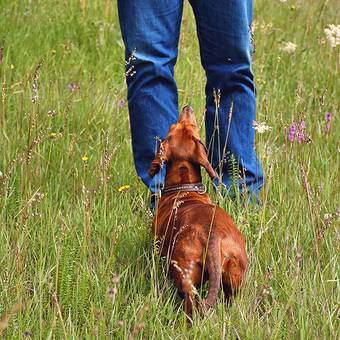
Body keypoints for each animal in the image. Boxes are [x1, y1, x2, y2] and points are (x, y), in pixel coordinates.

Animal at [149, 107, 247, 316]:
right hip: (234, 279)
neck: (184, 187)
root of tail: (213, 235)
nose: (187, 108)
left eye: (175, 125)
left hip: (185, 276)